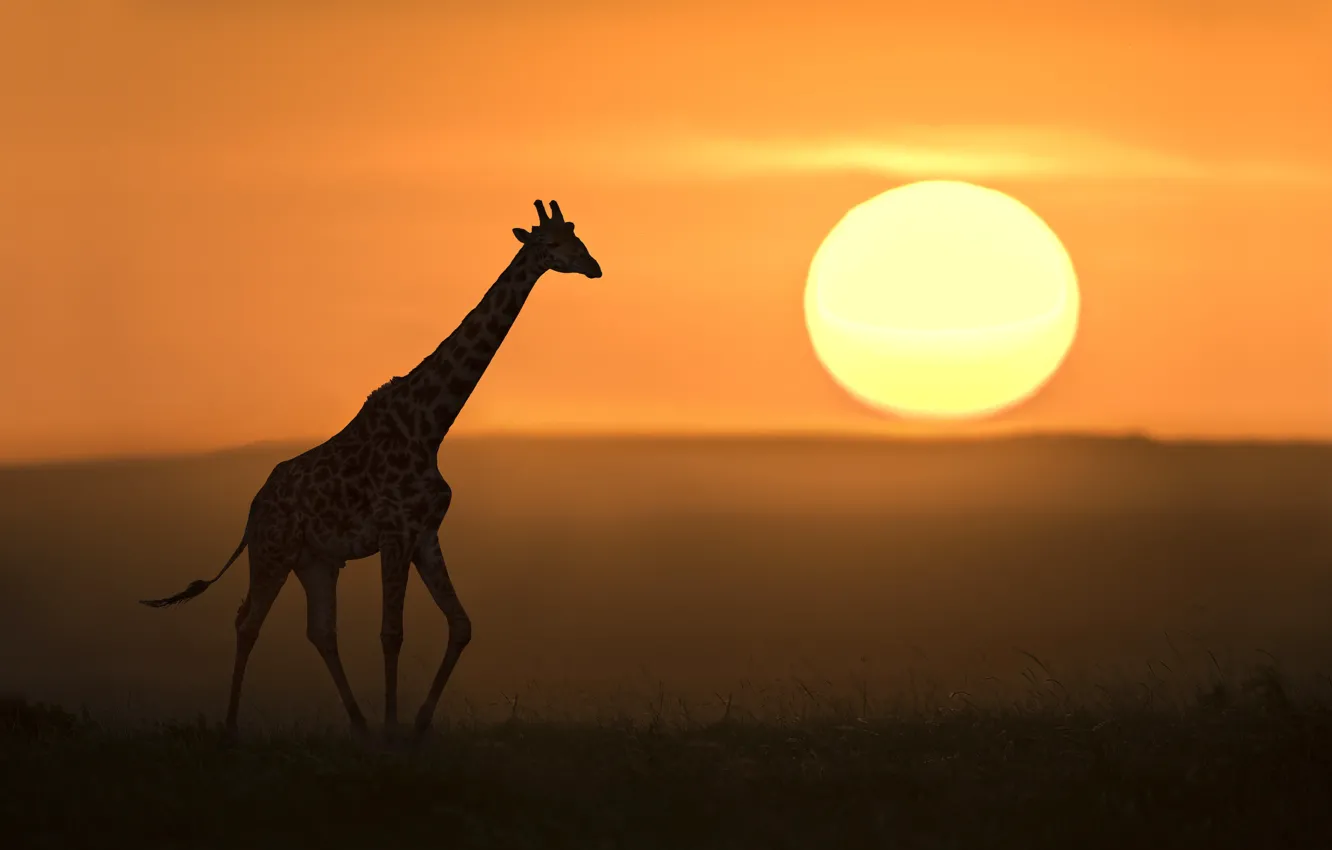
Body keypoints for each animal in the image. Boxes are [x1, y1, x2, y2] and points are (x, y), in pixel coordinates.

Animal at [140, 199, 602, 739]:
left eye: (579, 237)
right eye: (549, 244)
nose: (593, 266)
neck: (429, 424)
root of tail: (252, 510)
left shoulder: (424, 533)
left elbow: (460, 624)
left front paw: (417, 724)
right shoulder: (394, 531)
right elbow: (391, 632)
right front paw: (393, 727)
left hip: (316, 561)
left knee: (320, 631)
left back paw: (357, 725)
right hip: (273, 552)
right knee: (248, 621)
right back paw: (232, 730)